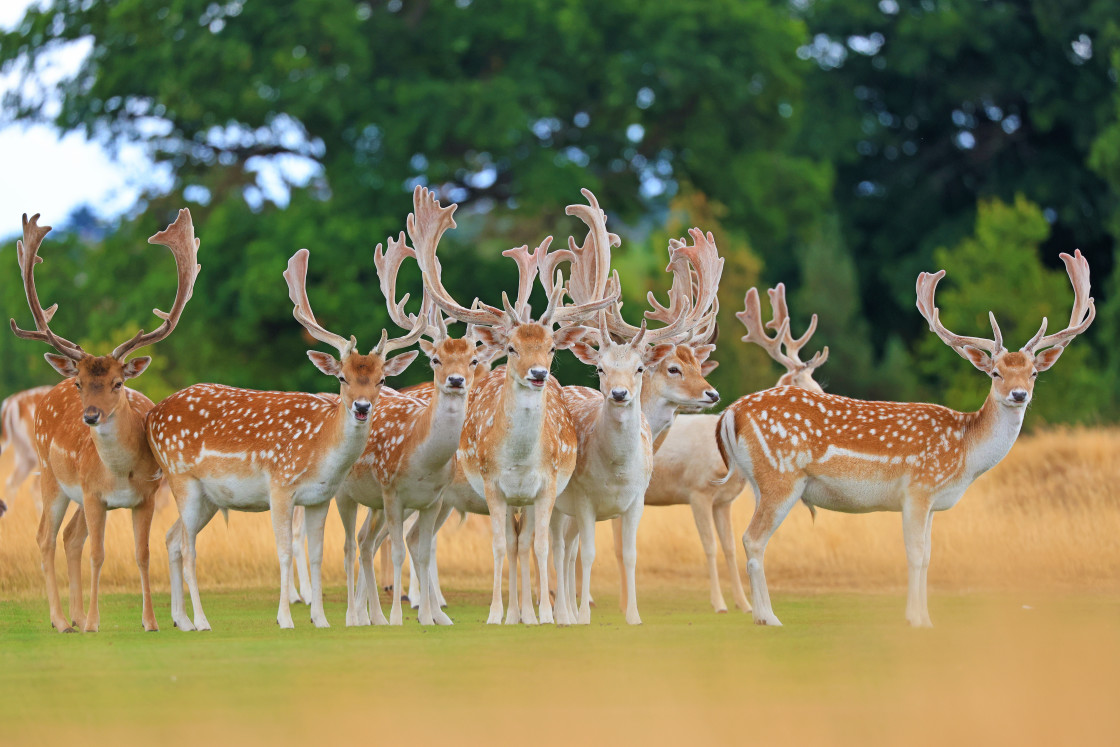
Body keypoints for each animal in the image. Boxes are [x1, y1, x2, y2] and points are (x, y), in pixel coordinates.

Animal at [10, 209, 201, 631]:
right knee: (45, 537)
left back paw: (76, 616)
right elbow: (98, 554)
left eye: (118, 382)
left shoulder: (146, 496)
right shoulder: (95, 495)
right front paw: (95, 622)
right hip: (51, 475)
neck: (119, 474)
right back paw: (62, 620)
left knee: (69, 537)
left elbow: (142, 554)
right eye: (80, 383)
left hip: (75, 493)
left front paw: (150, 621)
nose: (91, 415)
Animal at [151, 246, 425, 631]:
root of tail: (151, 415)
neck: (319, 448)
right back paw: (202, 621)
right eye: (341, 377)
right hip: (181, 478)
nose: (362, 406)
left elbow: (317, 554)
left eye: (382, 379)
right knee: (188, 547)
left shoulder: (319, 497)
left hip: (209, 497)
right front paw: (285, 618)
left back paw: (182, 620)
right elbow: (282, 551)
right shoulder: (280, 485)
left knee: (172, 538)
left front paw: (321, 619)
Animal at [636, 283, 828, 618]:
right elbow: (710, 546)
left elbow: (728, 546)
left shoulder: (723, 501)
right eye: (803, 386)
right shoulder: (697, 490)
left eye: (818, 383)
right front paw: (720, 603)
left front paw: (745, 604)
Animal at [716, 250, 1093, 627]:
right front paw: (916, 619)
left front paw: (925, 618)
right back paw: (768, 617)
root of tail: (730, 413)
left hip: (759, 482)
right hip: (781, 477)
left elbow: (928, 557)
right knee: (753, 539)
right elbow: (914, 554)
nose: (1018, 394)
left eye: (1034, 372)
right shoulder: (918, 489)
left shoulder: (932, 503)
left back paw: (761, 614)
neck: (965, 453)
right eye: (995, 373)